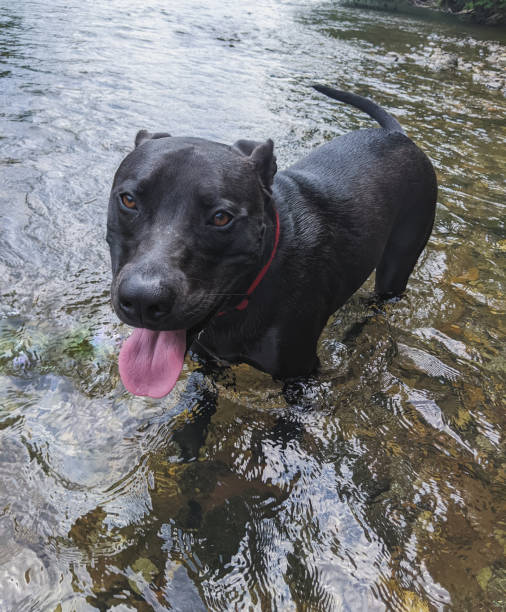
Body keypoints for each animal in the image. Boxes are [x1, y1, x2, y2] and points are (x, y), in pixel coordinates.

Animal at [107, 86, 438, 400]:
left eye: (221, 218)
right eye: (128, 200)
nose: (143, 300)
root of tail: (397, 135)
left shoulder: (299, 376)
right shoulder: (208, 361)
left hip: (397, 265)